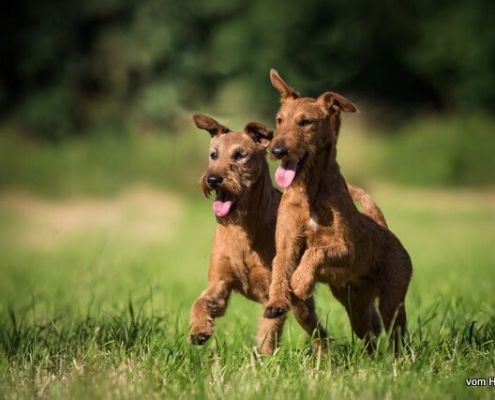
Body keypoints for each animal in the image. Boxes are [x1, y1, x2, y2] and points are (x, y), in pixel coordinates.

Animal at [190, 112, 392, 354]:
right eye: (213, 154)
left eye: (240, 155)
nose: (213, 179)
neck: (242, 229)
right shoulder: (220, 283)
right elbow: (200, 302)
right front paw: (199, 330)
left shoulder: (272, 294)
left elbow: (268, 334)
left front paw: (264, 360)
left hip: (326, 296)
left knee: (326, 330)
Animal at [266, 70, 412, 352]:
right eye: (279, 120)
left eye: (306, 122)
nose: (276, 150)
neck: (310, 191)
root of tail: (386, 229)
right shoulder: (286, 243)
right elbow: (280, 268)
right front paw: (277, 301)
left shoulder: (347, 248)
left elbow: (315, 251)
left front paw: (300, 281)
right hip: (355, 305)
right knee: (369, 335)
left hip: (392, 299)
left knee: (397, 333)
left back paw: (399, 357)